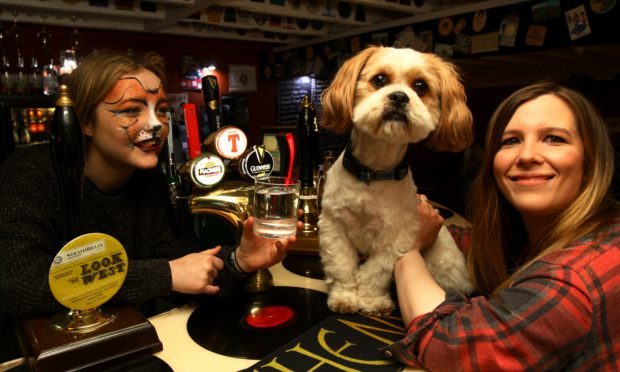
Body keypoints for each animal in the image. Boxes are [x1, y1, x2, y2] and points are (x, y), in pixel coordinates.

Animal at [320, 45, 474, 316]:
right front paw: (345, 296)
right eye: (379, 80)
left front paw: (372, 300)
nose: (400, 97)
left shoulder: (396, 236)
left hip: (443, 263)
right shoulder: (334, 226)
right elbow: (342, 265)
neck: (373, 173)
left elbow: (377, 271)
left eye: (421, 86)